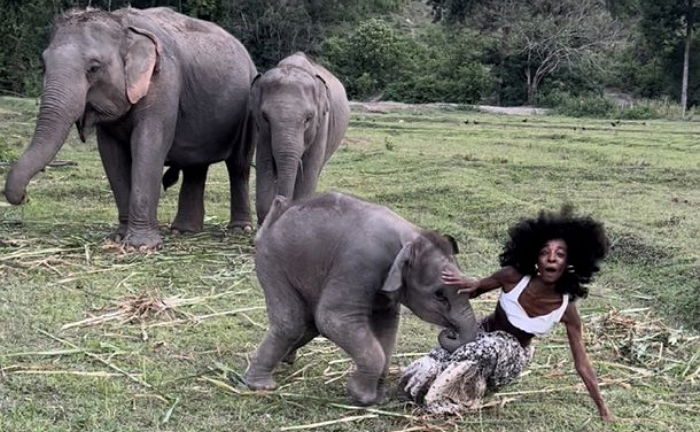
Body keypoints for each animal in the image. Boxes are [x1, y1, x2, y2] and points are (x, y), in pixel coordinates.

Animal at [1, 6, 258, 250]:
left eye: (94, 68)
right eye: (44, 64)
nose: (24, 197)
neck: (122, 25)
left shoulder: (164, 82)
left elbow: (148, 145)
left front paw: (141, 246)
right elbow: (111, 155)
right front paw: (119, 237)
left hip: (247, 111)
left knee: (238, 165)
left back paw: (239, 229)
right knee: (196, 166)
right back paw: (183, 231)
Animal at [246, 192, 482, 404]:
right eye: (439, 295)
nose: (450, 332)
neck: (411, 234)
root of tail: (278, 212)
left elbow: (387, 327)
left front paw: (378, 398)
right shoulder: (359, 265)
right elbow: (332, 319)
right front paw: (362, 397)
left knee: (308, 325)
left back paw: (285, 361)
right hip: (273, 262)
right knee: (292, 322)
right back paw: (261, 385)